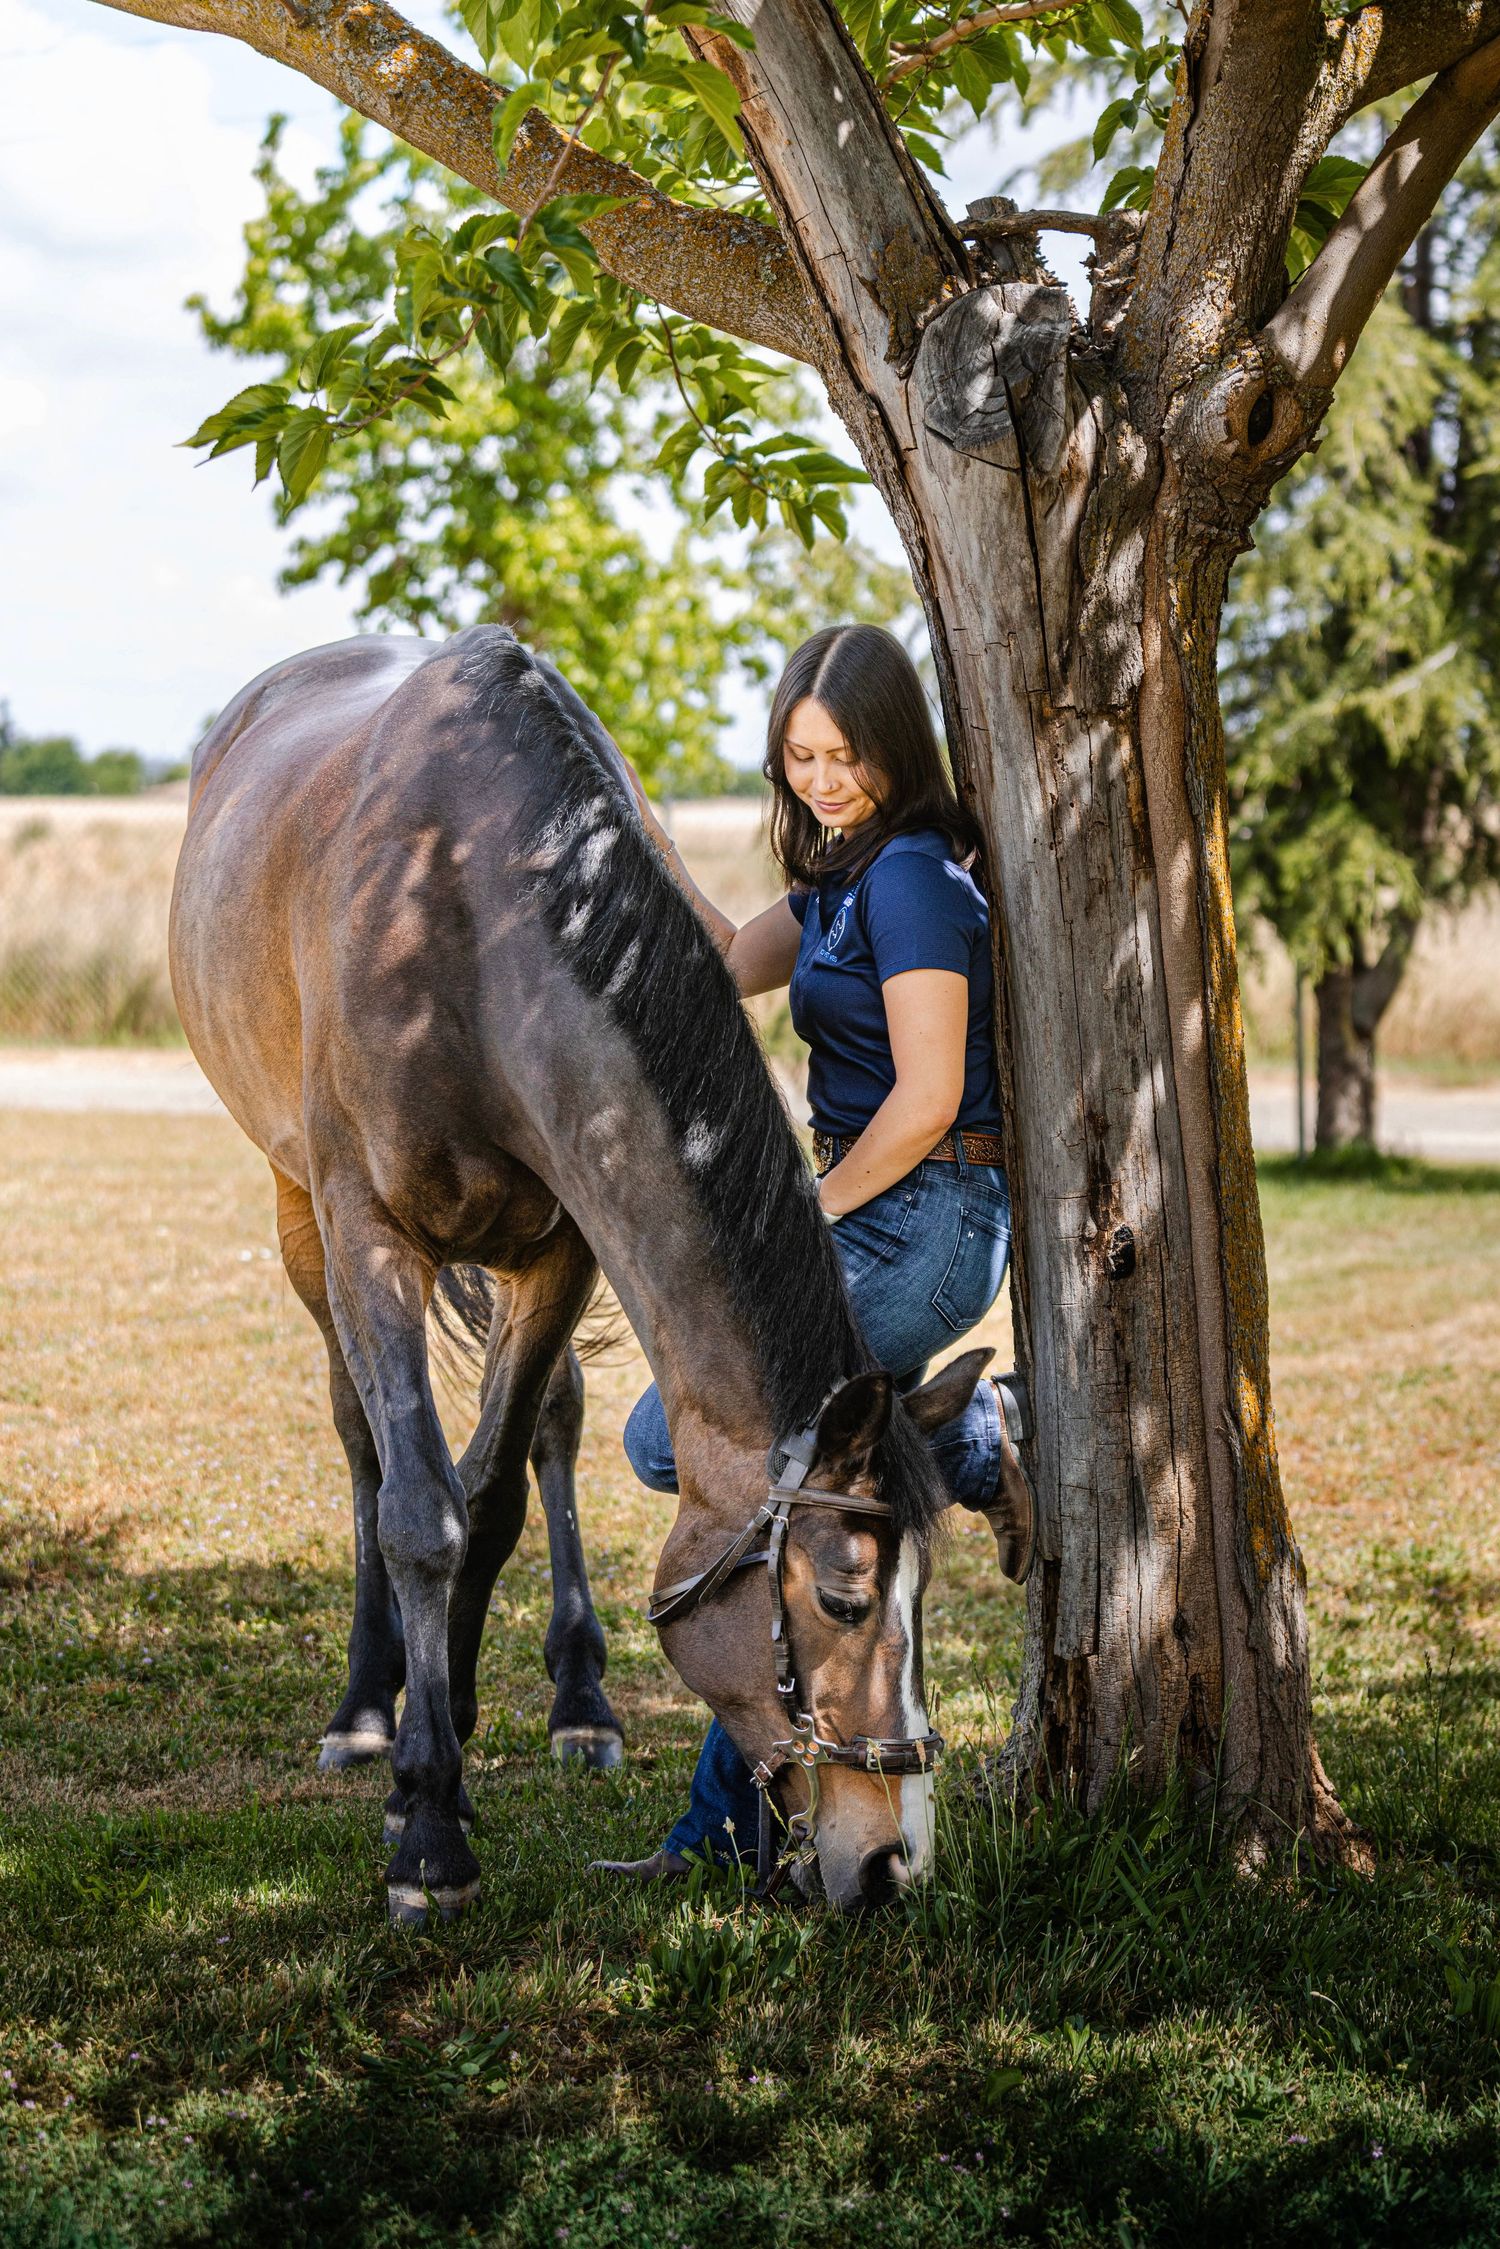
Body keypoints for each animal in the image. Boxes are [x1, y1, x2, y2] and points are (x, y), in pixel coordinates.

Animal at [169, 626, 988, 1920]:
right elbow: (419, 1511)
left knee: (547, 1427)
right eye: (846, 1599)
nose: (895, 1861)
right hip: (300, 1212)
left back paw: (576, 1701)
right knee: (360, 1437)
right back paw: (363, 1706)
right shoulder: (366, 1229)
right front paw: (426, 1829)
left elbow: (493, 1497)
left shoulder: (564, 1246)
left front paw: (445, 1766)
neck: (463, 903)